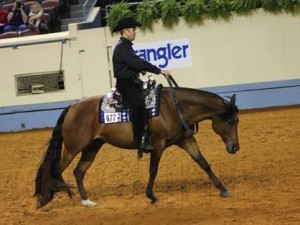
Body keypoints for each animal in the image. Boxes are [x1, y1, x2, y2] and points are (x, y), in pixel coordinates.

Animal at [33, 85, 239, 208]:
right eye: (230, 121)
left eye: (237, 121)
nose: (235, 148)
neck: (173, 108)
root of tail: (72, 106)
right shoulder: (158, 145)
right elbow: (153, 170)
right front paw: (152, 196)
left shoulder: (186, 140)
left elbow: (203, 163)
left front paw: (222, 189)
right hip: (72, 148)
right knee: (54, 169)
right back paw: (46, 197)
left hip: (92, 147)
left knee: (78, 171)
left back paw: (86, 201)